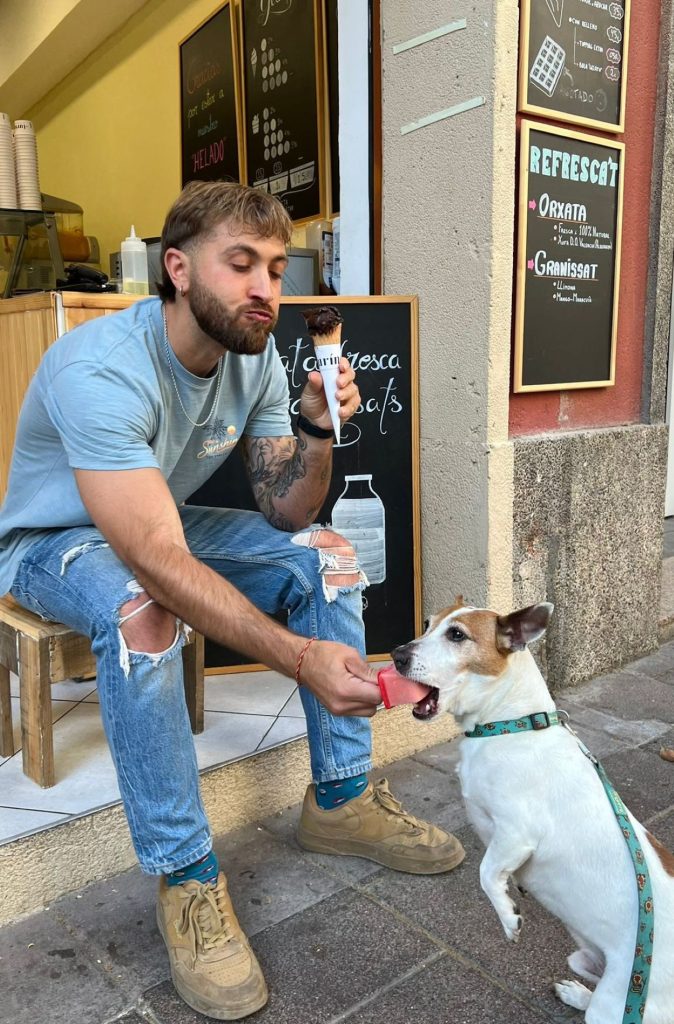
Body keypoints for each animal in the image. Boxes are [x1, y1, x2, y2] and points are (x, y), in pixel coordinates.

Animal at [392, 601, 674, 1024]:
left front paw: (508, 916)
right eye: (427, 624)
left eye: (457, 635)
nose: (396, 655)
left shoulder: (516, 834)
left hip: (617, 1000)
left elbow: (485, 873)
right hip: (587, 962)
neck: (509, 723)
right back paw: (575, 992)